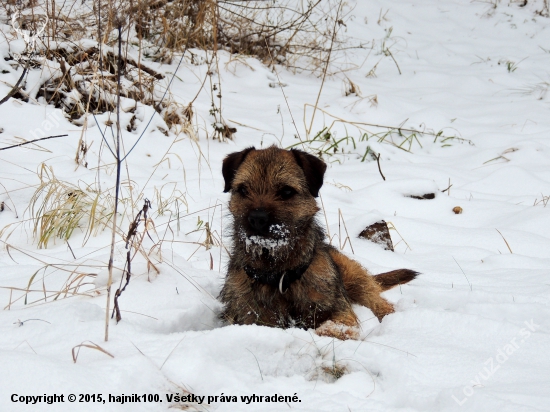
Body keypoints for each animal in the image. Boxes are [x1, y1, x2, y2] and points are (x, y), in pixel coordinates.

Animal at [220, 146, 418, 340]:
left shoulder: (340, 311)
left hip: (356, 279)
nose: (257, 219)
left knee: (380, 303)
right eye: (243, 190)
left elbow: (337, 328)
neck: (279, 275)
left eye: (286, 191)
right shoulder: (249, 317)